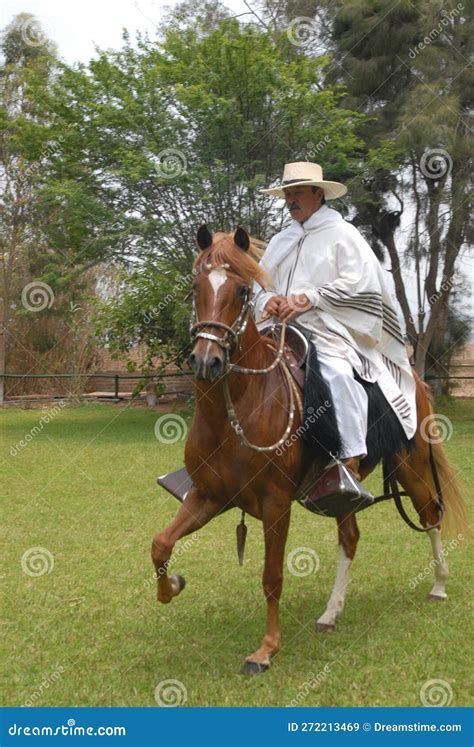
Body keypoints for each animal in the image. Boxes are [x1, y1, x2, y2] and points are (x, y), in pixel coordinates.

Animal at [151, 225, 468, 675]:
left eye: (242, 292)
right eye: (196, 287)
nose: (206, 360)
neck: (238, 409)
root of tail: (415, 381)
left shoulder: (275, 504)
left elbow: (271, 577)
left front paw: (266, 649)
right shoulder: (208, 496)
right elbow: (160, 544)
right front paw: (171, 587)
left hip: (413, 467)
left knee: (430, 515)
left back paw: (439, 584)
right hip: (344, 494)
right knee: (351, 538)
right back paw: (331, 613)